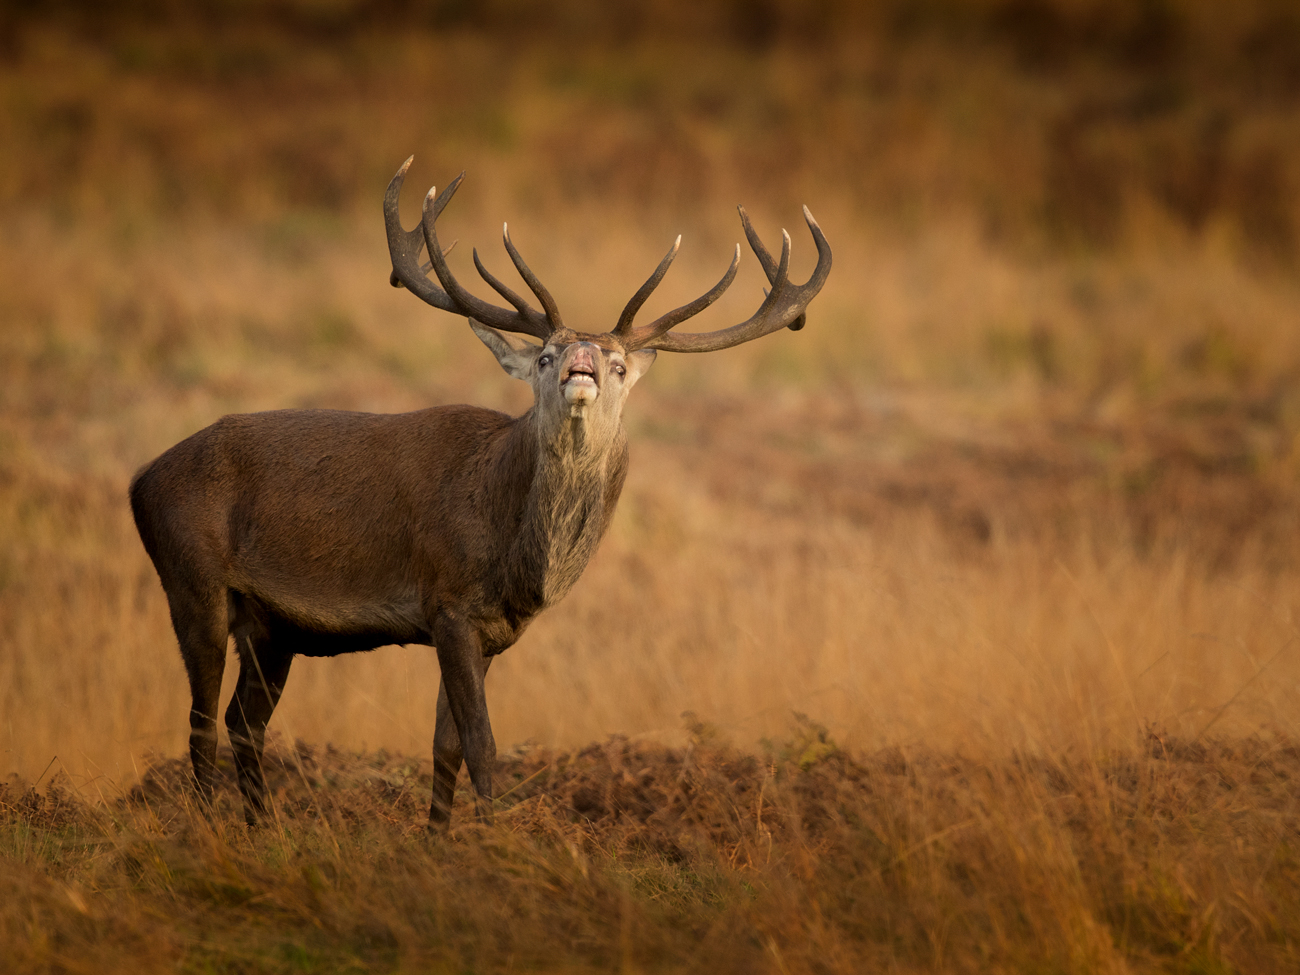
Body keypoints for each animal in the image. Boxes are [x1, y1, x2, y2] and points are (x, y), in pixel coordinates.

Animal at [129, 156, 831, 829]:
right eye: (545, 356)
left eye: (618, 364)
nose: (580, 361)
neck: (515, 557)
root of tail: (140, 479)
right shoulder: (448, 602)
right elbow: (482, 744)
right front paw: (490, 843)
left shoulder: (485, 629)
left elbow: (446, 744)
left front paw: (437, 844)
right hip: (192, 580)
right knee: (200, 721)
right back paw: (209, 830)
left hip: (274, 626)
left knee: (244, 722)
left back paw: (262, 830)